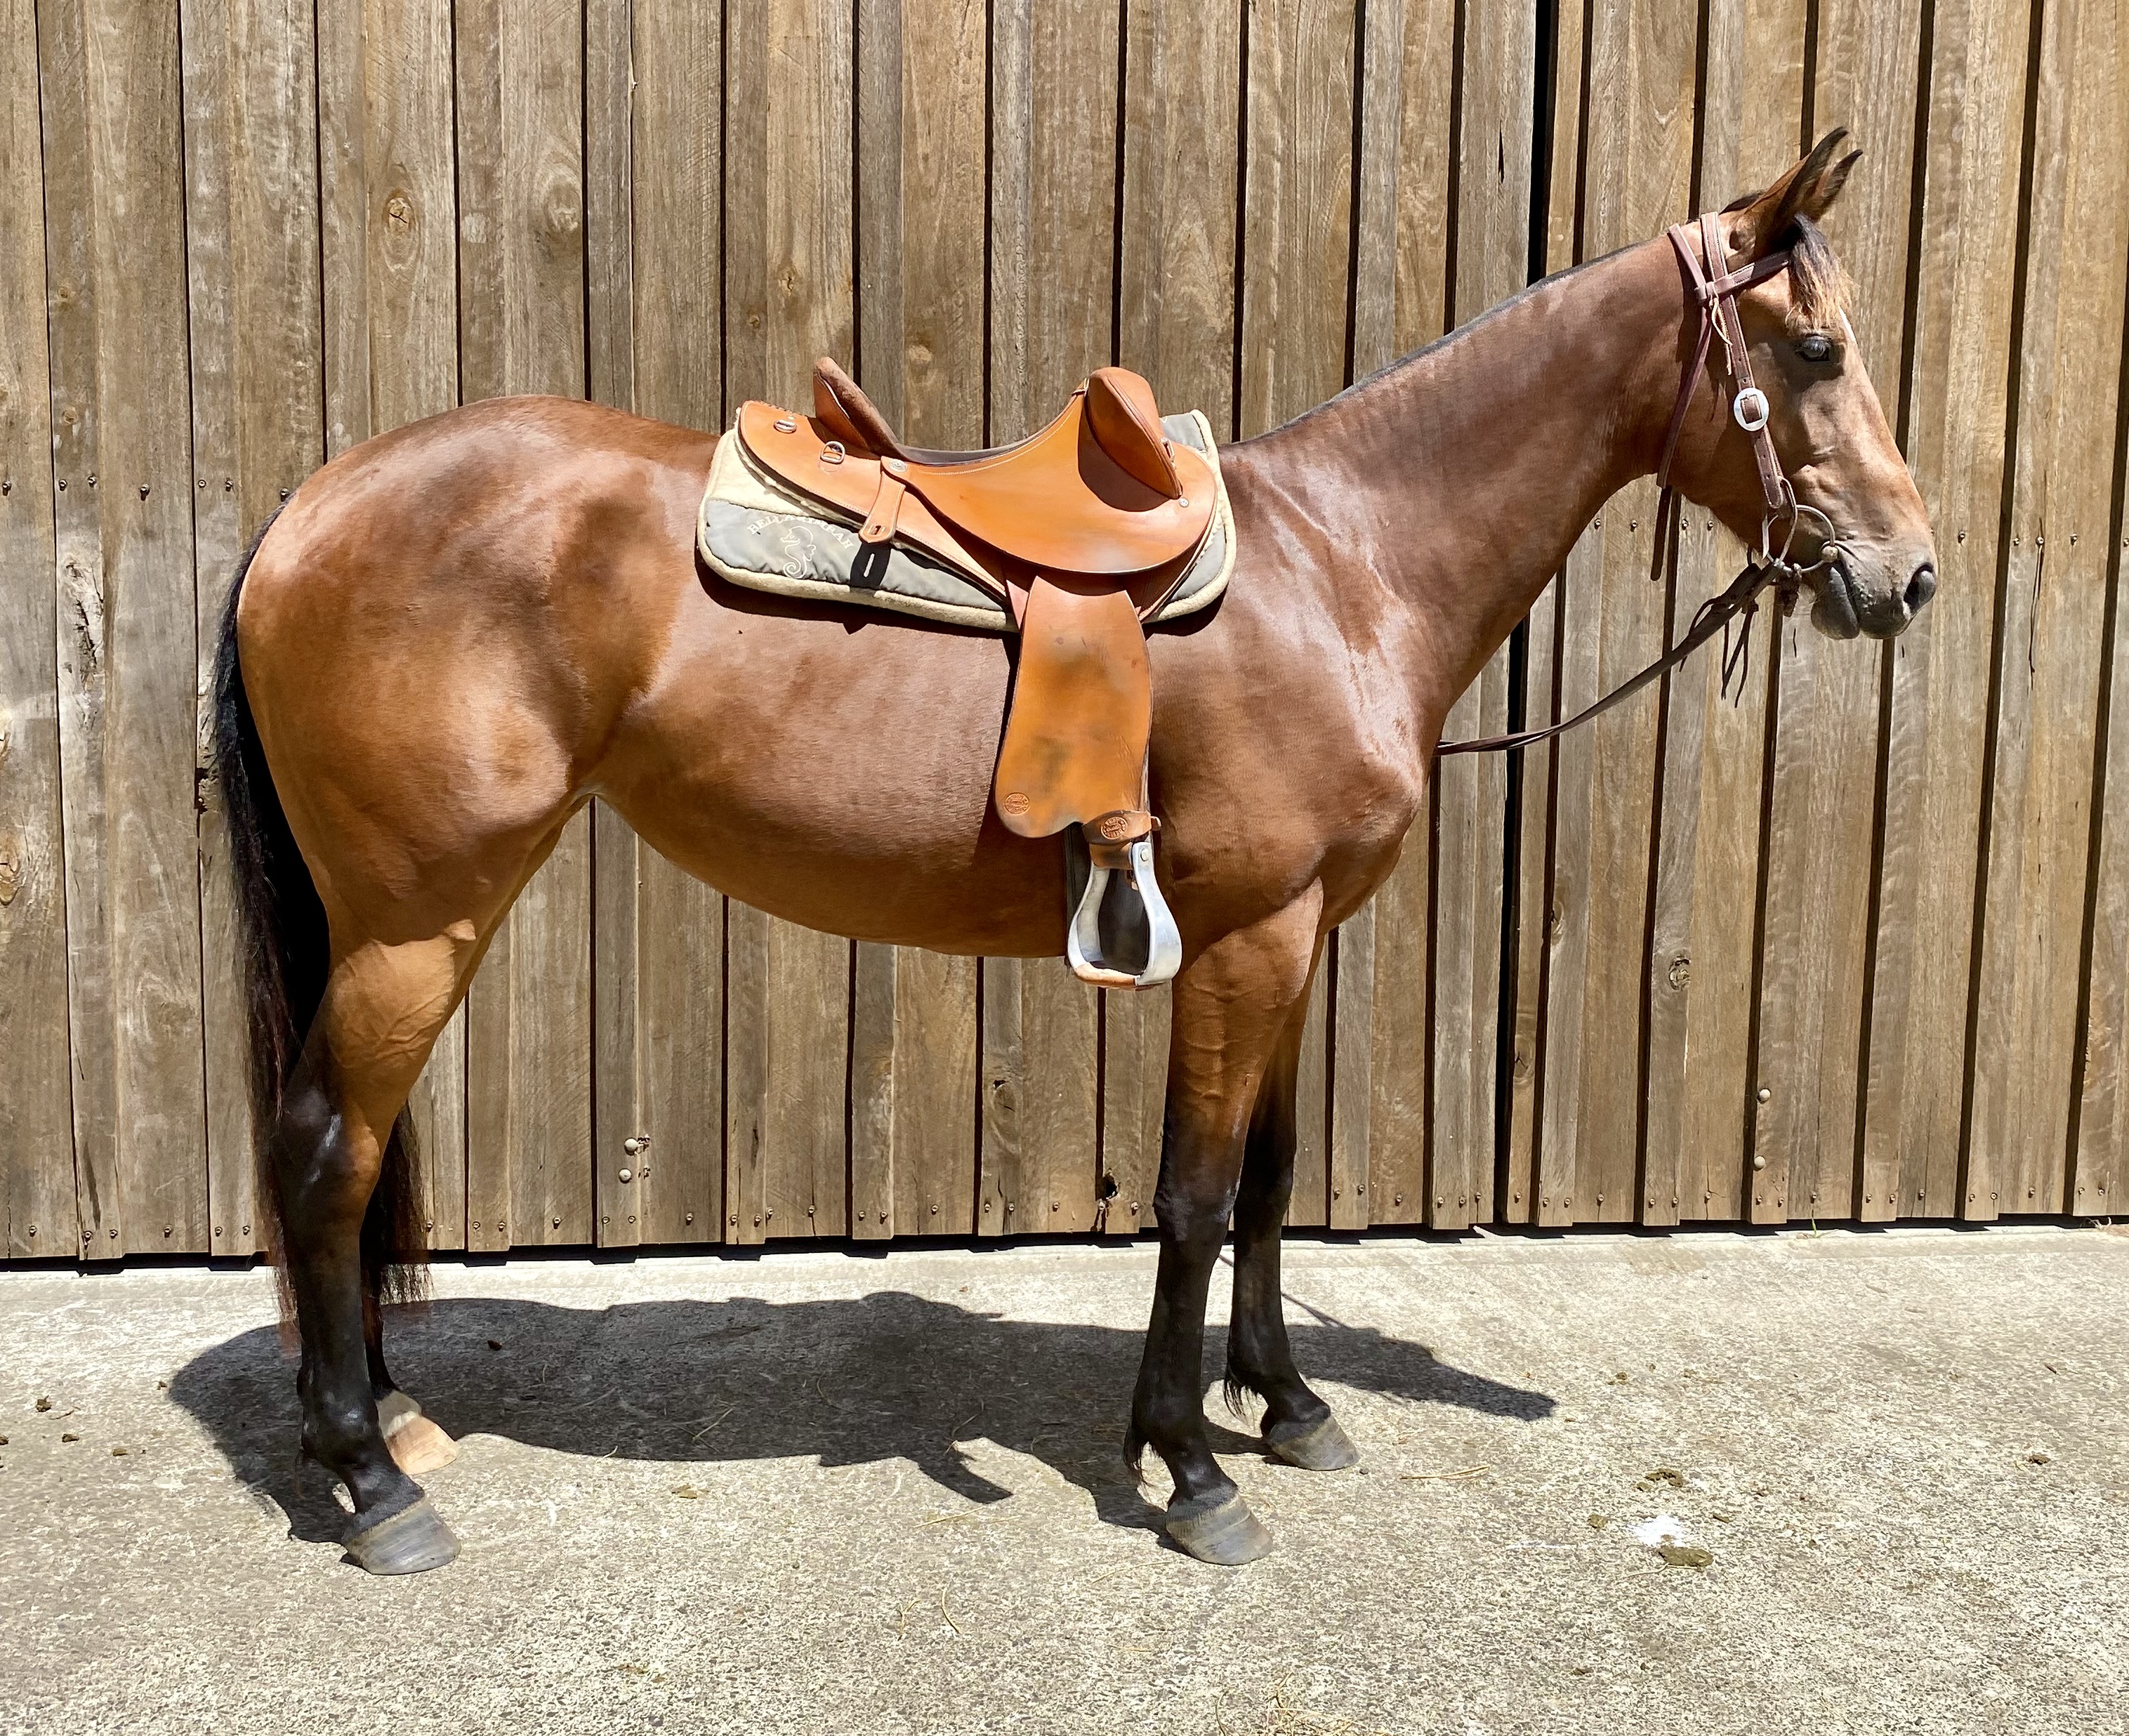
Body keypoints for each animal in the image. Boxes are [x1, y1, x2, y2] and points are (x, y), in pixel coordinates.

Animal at [215, 132, 1934, 1573]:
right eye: (1817, 350)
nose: (1908, 577)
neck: (1350, 566)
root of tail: (309, 507)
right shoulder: (1244, 943)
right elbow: (1189, 1195)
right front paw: (1189, 1464)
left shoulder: (1296, 935)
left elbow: (1267, 1183)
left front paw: (1286, 1406)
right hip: (418, 924)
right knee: (322, 1152)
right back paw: (371, 1478)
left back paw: (384, 1422)